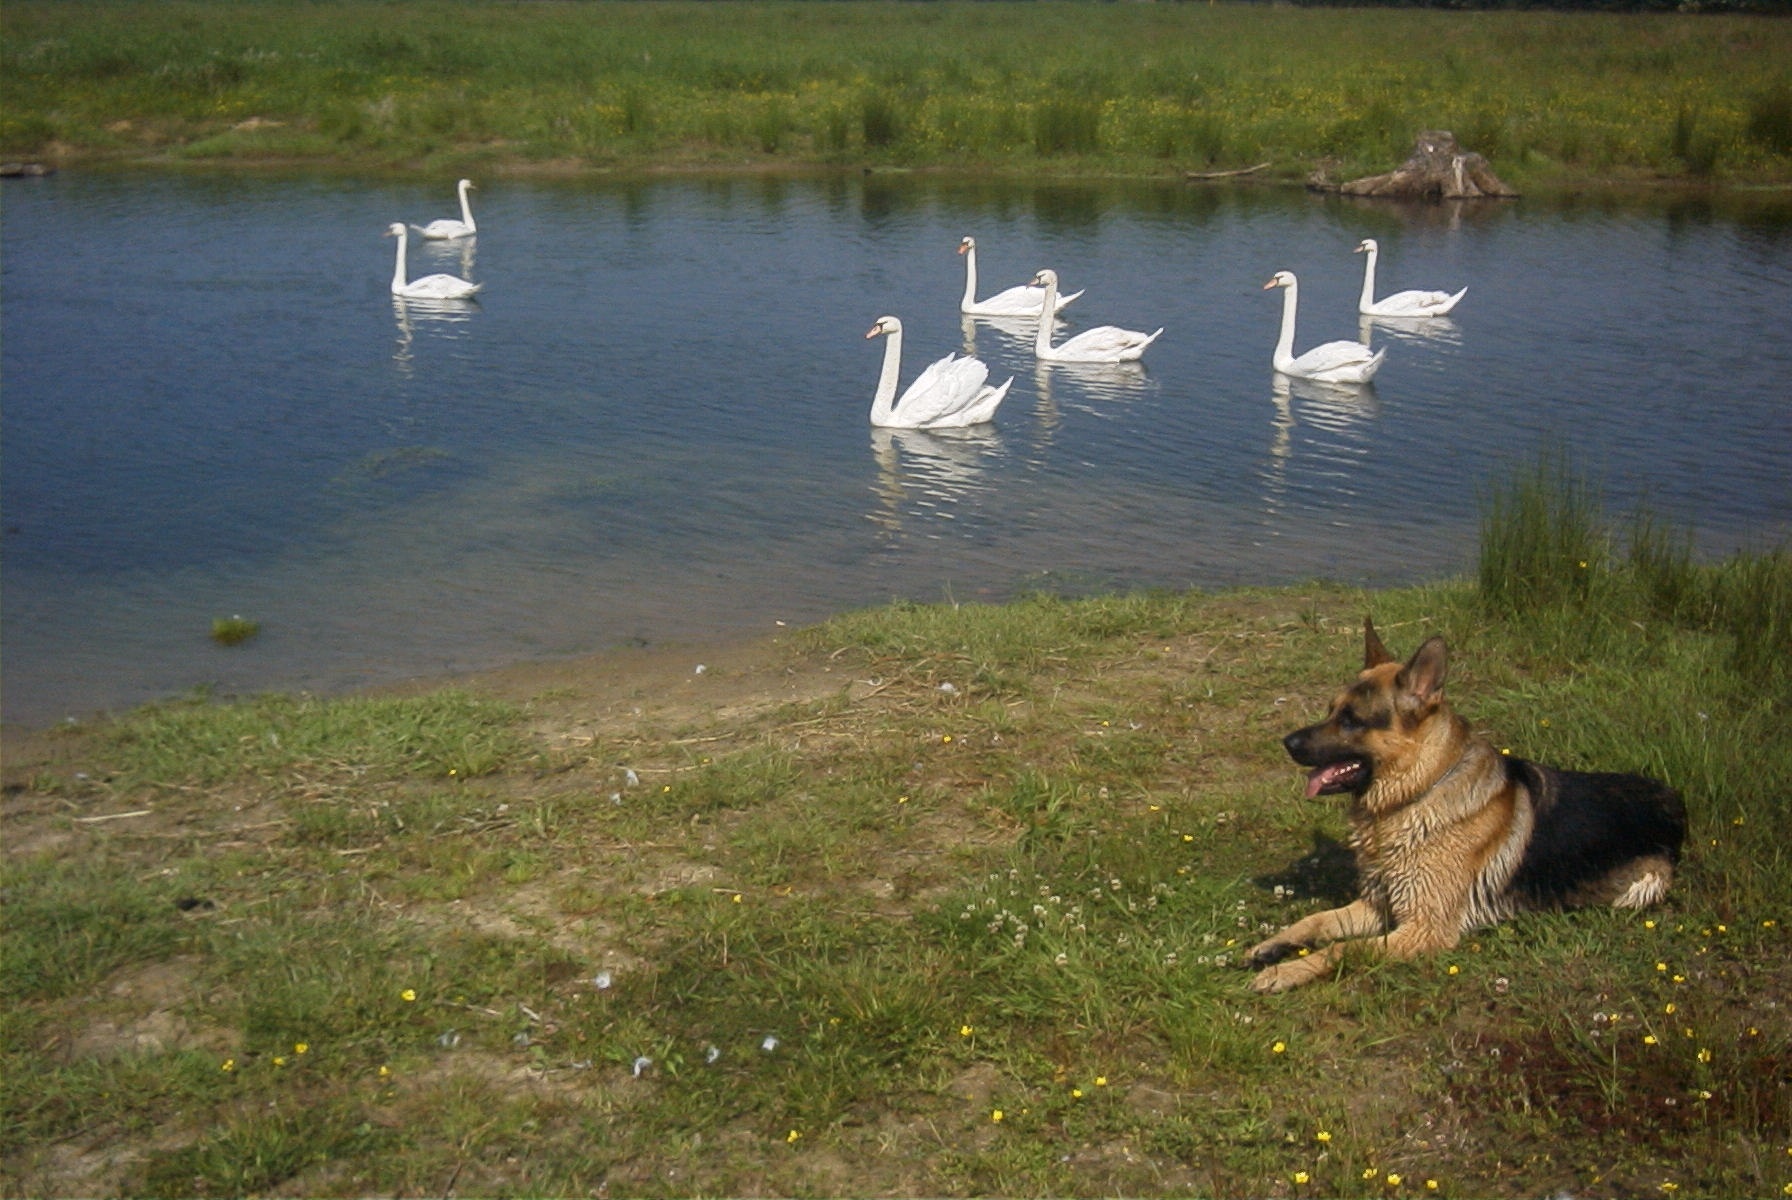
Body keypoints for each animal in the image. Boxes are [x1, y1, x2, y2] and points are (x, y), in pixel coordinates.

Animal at [1254, 619, 1684, 995]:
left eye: (1350, 720)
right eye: (1330, 710)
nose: (1286, 742)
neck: (1418, 792)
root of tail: (1674, 799)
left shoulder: (1423, 927)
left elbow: (1342, 947)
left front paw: (1284, 972)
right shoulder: (1379, 903)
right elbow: (1316, 920)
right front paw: (1274, 946)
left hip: (1641, 888)